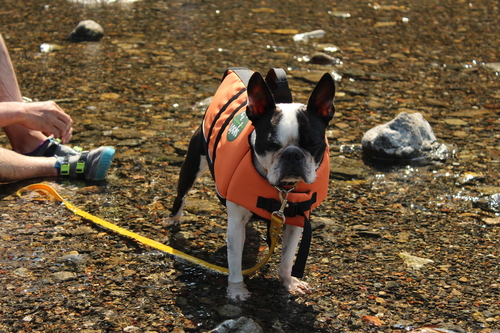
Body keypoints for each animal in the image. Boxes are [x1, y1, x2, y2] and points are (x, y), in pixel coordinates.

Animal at [166, 68, 334, 300]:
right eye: (270, 144)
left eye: (314, 144)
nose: (292, 154)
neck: (282, 190)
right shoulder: (236, 224)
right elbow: (235, 262)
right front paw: (237, 290)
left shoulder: (296, 221)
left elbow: (287, 257)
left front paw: (288, 282)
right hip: (192, 164)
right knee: (181, 195)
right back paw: (174, 218)